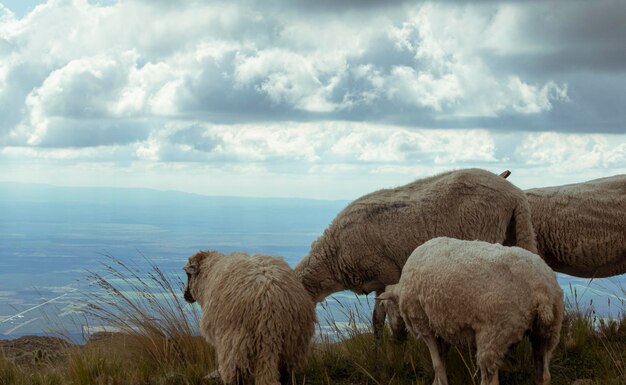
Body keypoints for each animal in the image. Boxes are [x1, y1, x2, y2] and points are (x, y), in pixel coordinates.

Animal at [183, 249, 314, 384]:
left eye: (188, 274)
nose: (186, 295)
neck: (207, 275)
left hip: (237, 342)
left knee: (236, 373)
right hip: (293, 343)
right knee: (286, 372)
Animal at [294, 166, 536, 340]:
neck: (332, 257)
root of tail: (514, 194)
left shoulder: (389, 274)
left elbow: (392, 320)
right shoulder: (379, 281)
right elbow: (376, 320)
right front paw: (379, 351)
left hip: (485, 233)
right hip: (515, 235)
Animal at [378, 237, 564, 384]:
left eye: (387, 307)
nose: (394, 339)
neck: (401, 291)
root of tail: (542, 289)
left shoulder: (425, 325)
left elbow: (437, 364)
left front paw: (440, 381)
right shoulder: (442, 327)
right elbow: (442, 359)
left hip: (494, 333)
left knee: (491, 380)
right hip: (547, 333)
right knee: (544, 375)